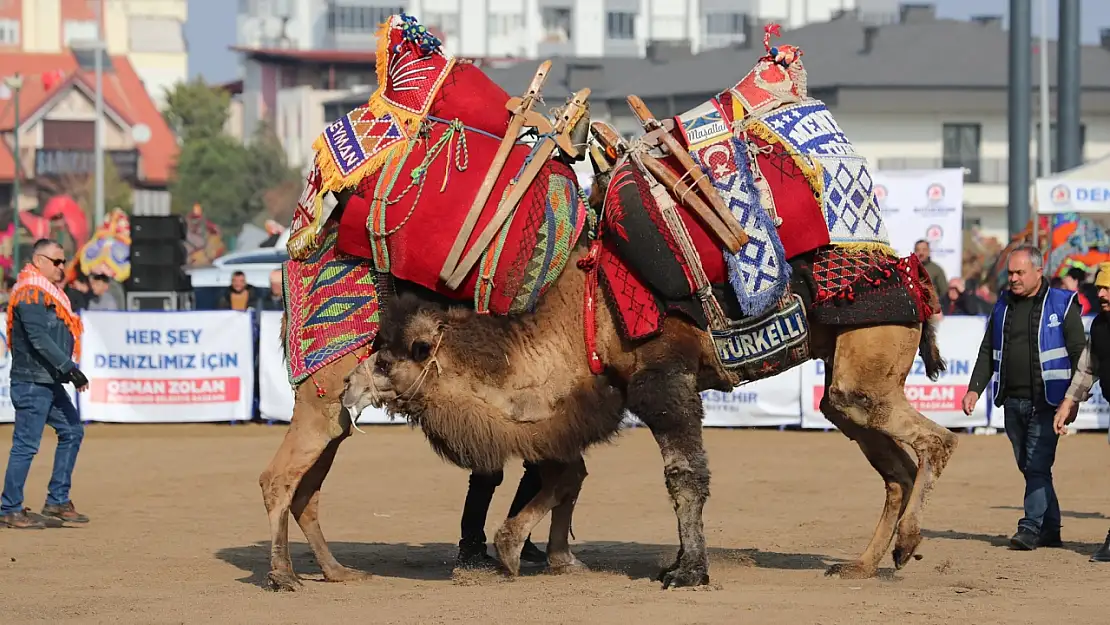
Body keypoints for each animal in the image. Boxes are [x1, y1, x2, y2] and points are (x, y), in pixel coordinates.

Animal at [259, 14, 954, 590]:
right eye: (378, 343)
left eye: (404, 349)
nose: (350, 386)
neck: (578, 308)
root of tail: (915, 275)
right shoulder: (601, 394)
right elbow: (565, 473)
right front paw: (529, 552)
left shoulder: (660, 379)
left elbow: (680, 475)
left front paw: (686, 572)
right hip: (847, 380)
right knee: (889, 461)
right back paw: (865, 563)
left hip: (869, 360)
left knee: (931, 443)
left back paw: (907, 544)